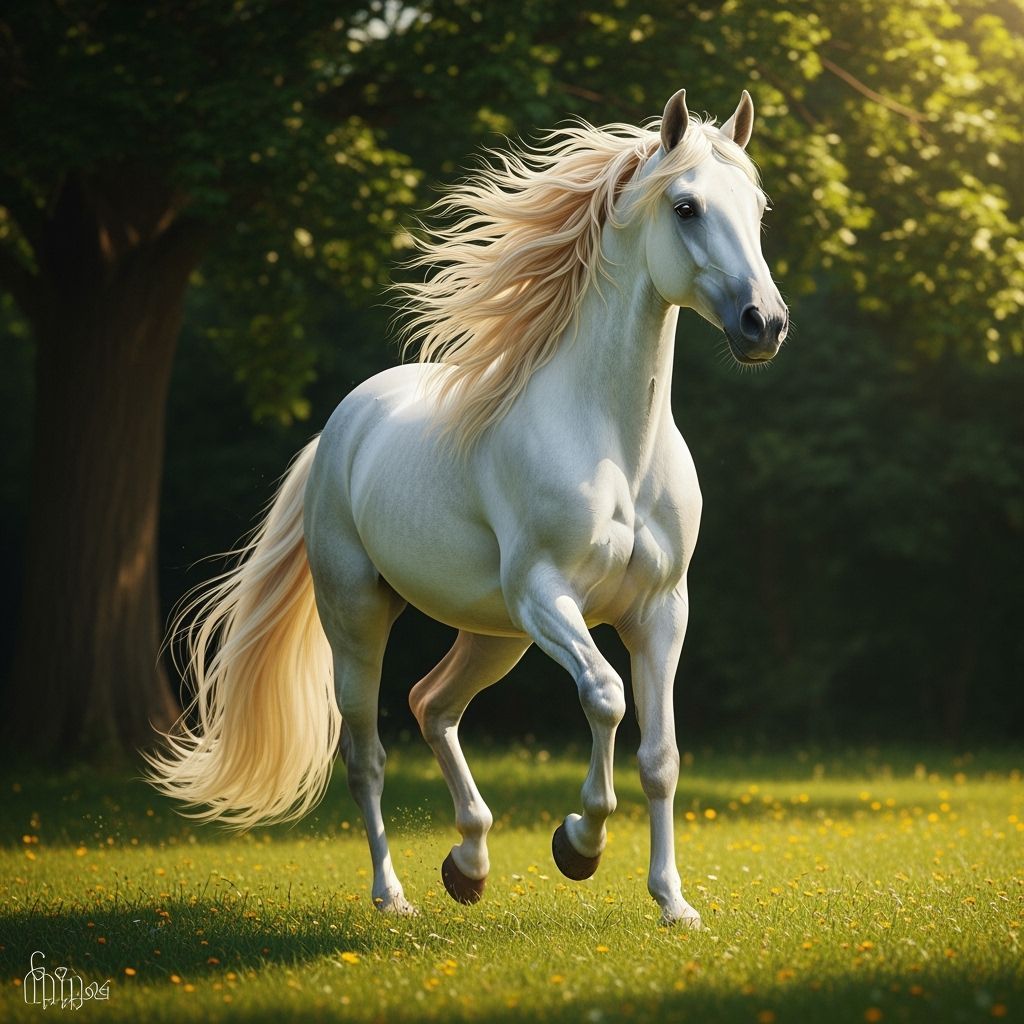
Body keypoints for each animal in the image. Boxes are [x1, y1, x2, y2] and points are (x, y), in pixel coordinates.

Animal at [146, 88, 788, 928]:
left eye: (759, 208)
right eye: (686, 207)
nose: (764, 324)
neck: (614, 441)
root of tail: (341, 427)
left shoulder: (660, 611)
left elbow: (661, 756)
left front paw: (673, 903)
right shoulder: (548, 594)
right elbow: (606, 698)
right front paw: (578, 845)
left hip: (495, 634)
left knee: (432, 705)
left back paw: (469, 864)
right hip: (361, 617)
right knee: (367, 754)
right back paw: (394, 896)